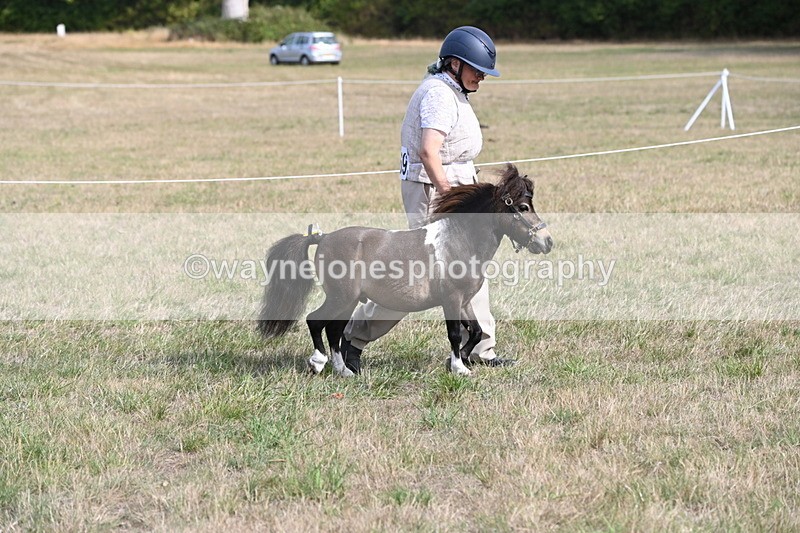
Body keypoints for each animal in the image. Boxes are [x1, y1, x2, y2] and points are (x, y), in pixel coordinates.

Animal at [256, 164, 553, 376]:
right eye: (523, 206)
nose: (547, 241)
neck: (458, 240)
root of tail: (323, 237)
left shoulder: (465, 301)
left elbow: (477, 331)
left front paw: (458, 360)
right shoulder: (451, 299)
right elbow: (455, 334)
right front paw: (459, 368)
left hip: (348, 301)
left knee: (334, 330)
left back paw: (344, 371)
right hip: (341, 297)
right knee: (316, 321)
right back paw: (318, 362)